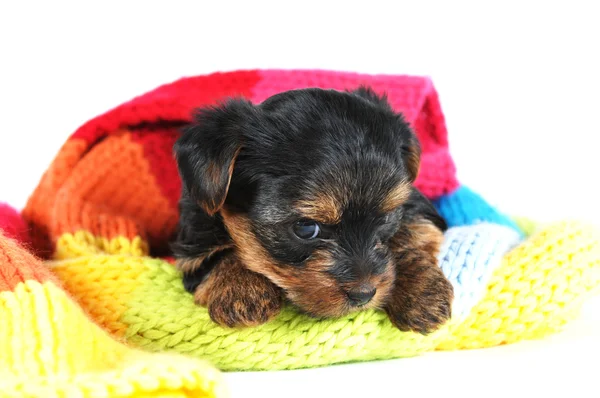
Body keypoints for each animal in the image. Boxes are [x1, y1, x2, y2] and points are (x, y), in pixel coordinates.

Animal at [171, 86, 452, 332]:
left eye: (384, 219)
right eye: (306, 229)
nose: (364, 294)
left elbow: (408, 236)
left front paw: (422, 294)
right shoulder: (194, 245)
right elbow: (220, 254)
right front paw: (241, 291)